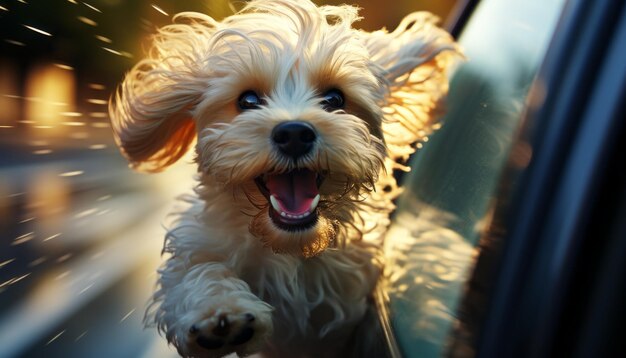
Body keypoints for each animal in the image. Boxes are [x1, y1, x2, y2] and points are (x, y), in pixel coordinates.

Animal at [108, 1, 458, 356]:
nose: (294, 134)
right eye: (248, 100)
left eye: (335, 99)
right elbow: (196, 271)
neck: (290, 249)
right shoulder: (200, 243)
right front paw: (220, 312)